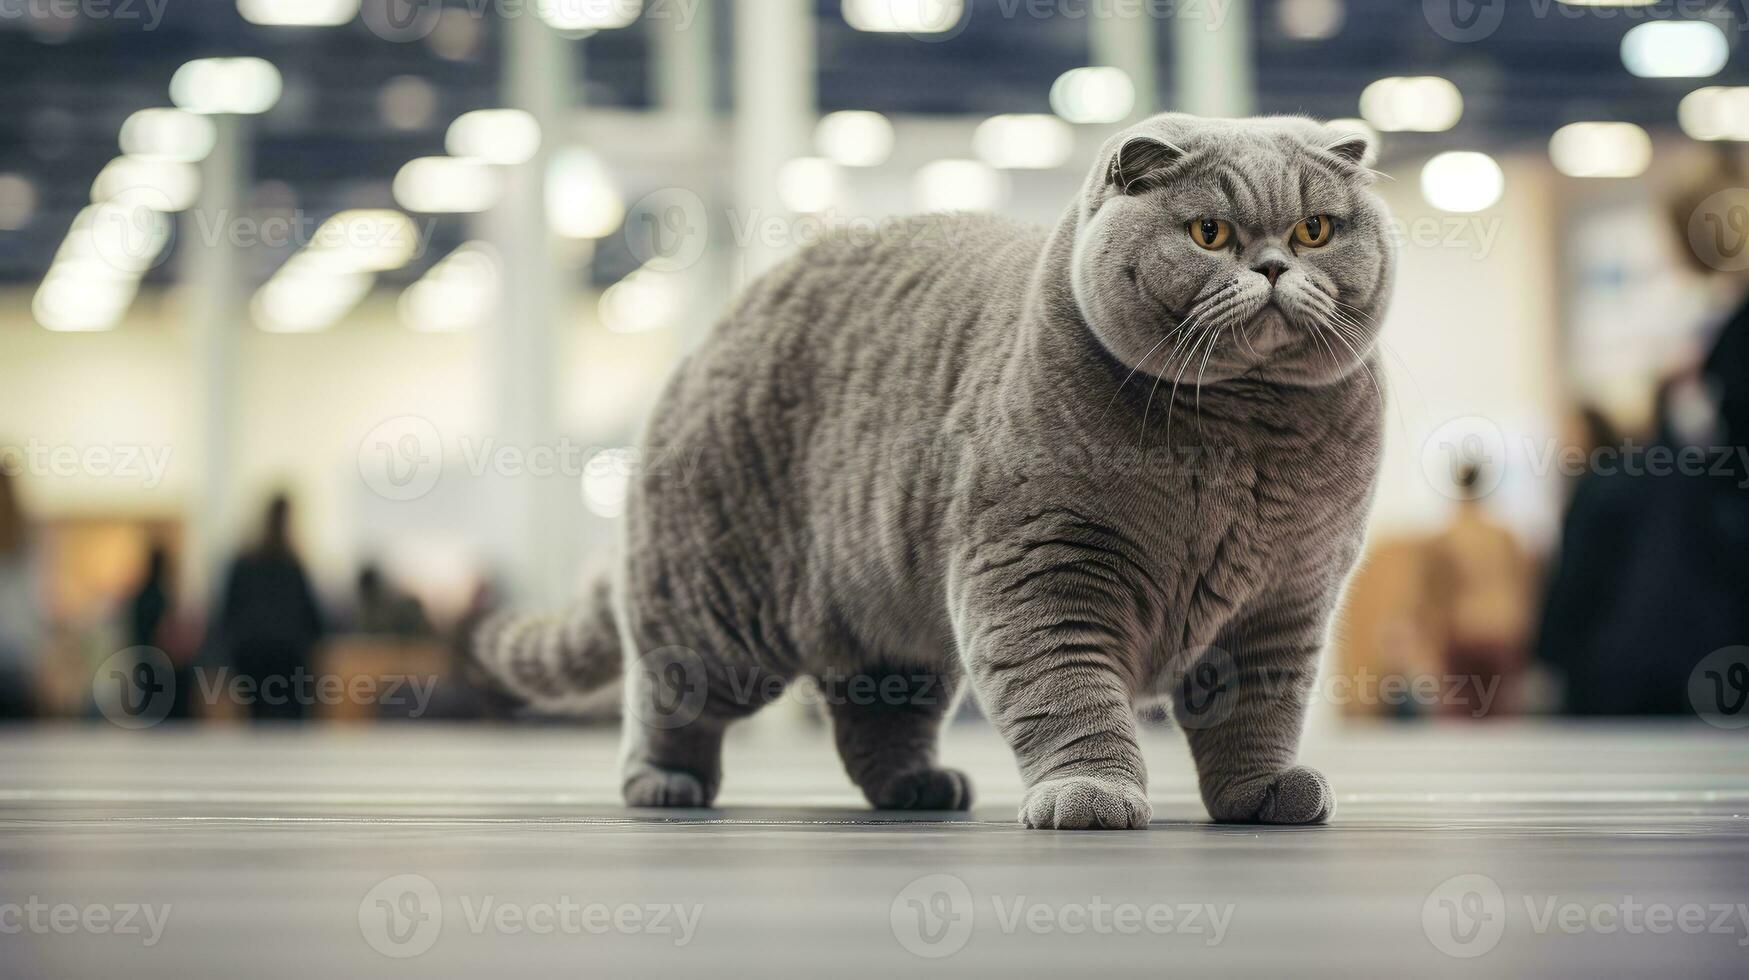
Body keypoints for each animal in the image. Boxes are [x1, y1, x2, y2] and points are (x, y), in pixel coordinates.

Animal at [468, 116, 1392, 833]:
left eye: (1314, 230)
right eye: (1208, 234)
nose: (1272, 266)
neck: (1240, 440)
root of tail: (722, 321)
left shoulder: (1283, 600)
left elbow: (1256, 715)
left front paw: (1262, 792)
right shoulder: (1044, 570)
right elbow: (1070, 695)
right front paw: (1088, 792)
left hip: (888, 629)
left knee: (872, 720)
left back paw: (919, 787)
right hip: (712, 601)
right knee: (667, 693)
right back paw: (664, 783)